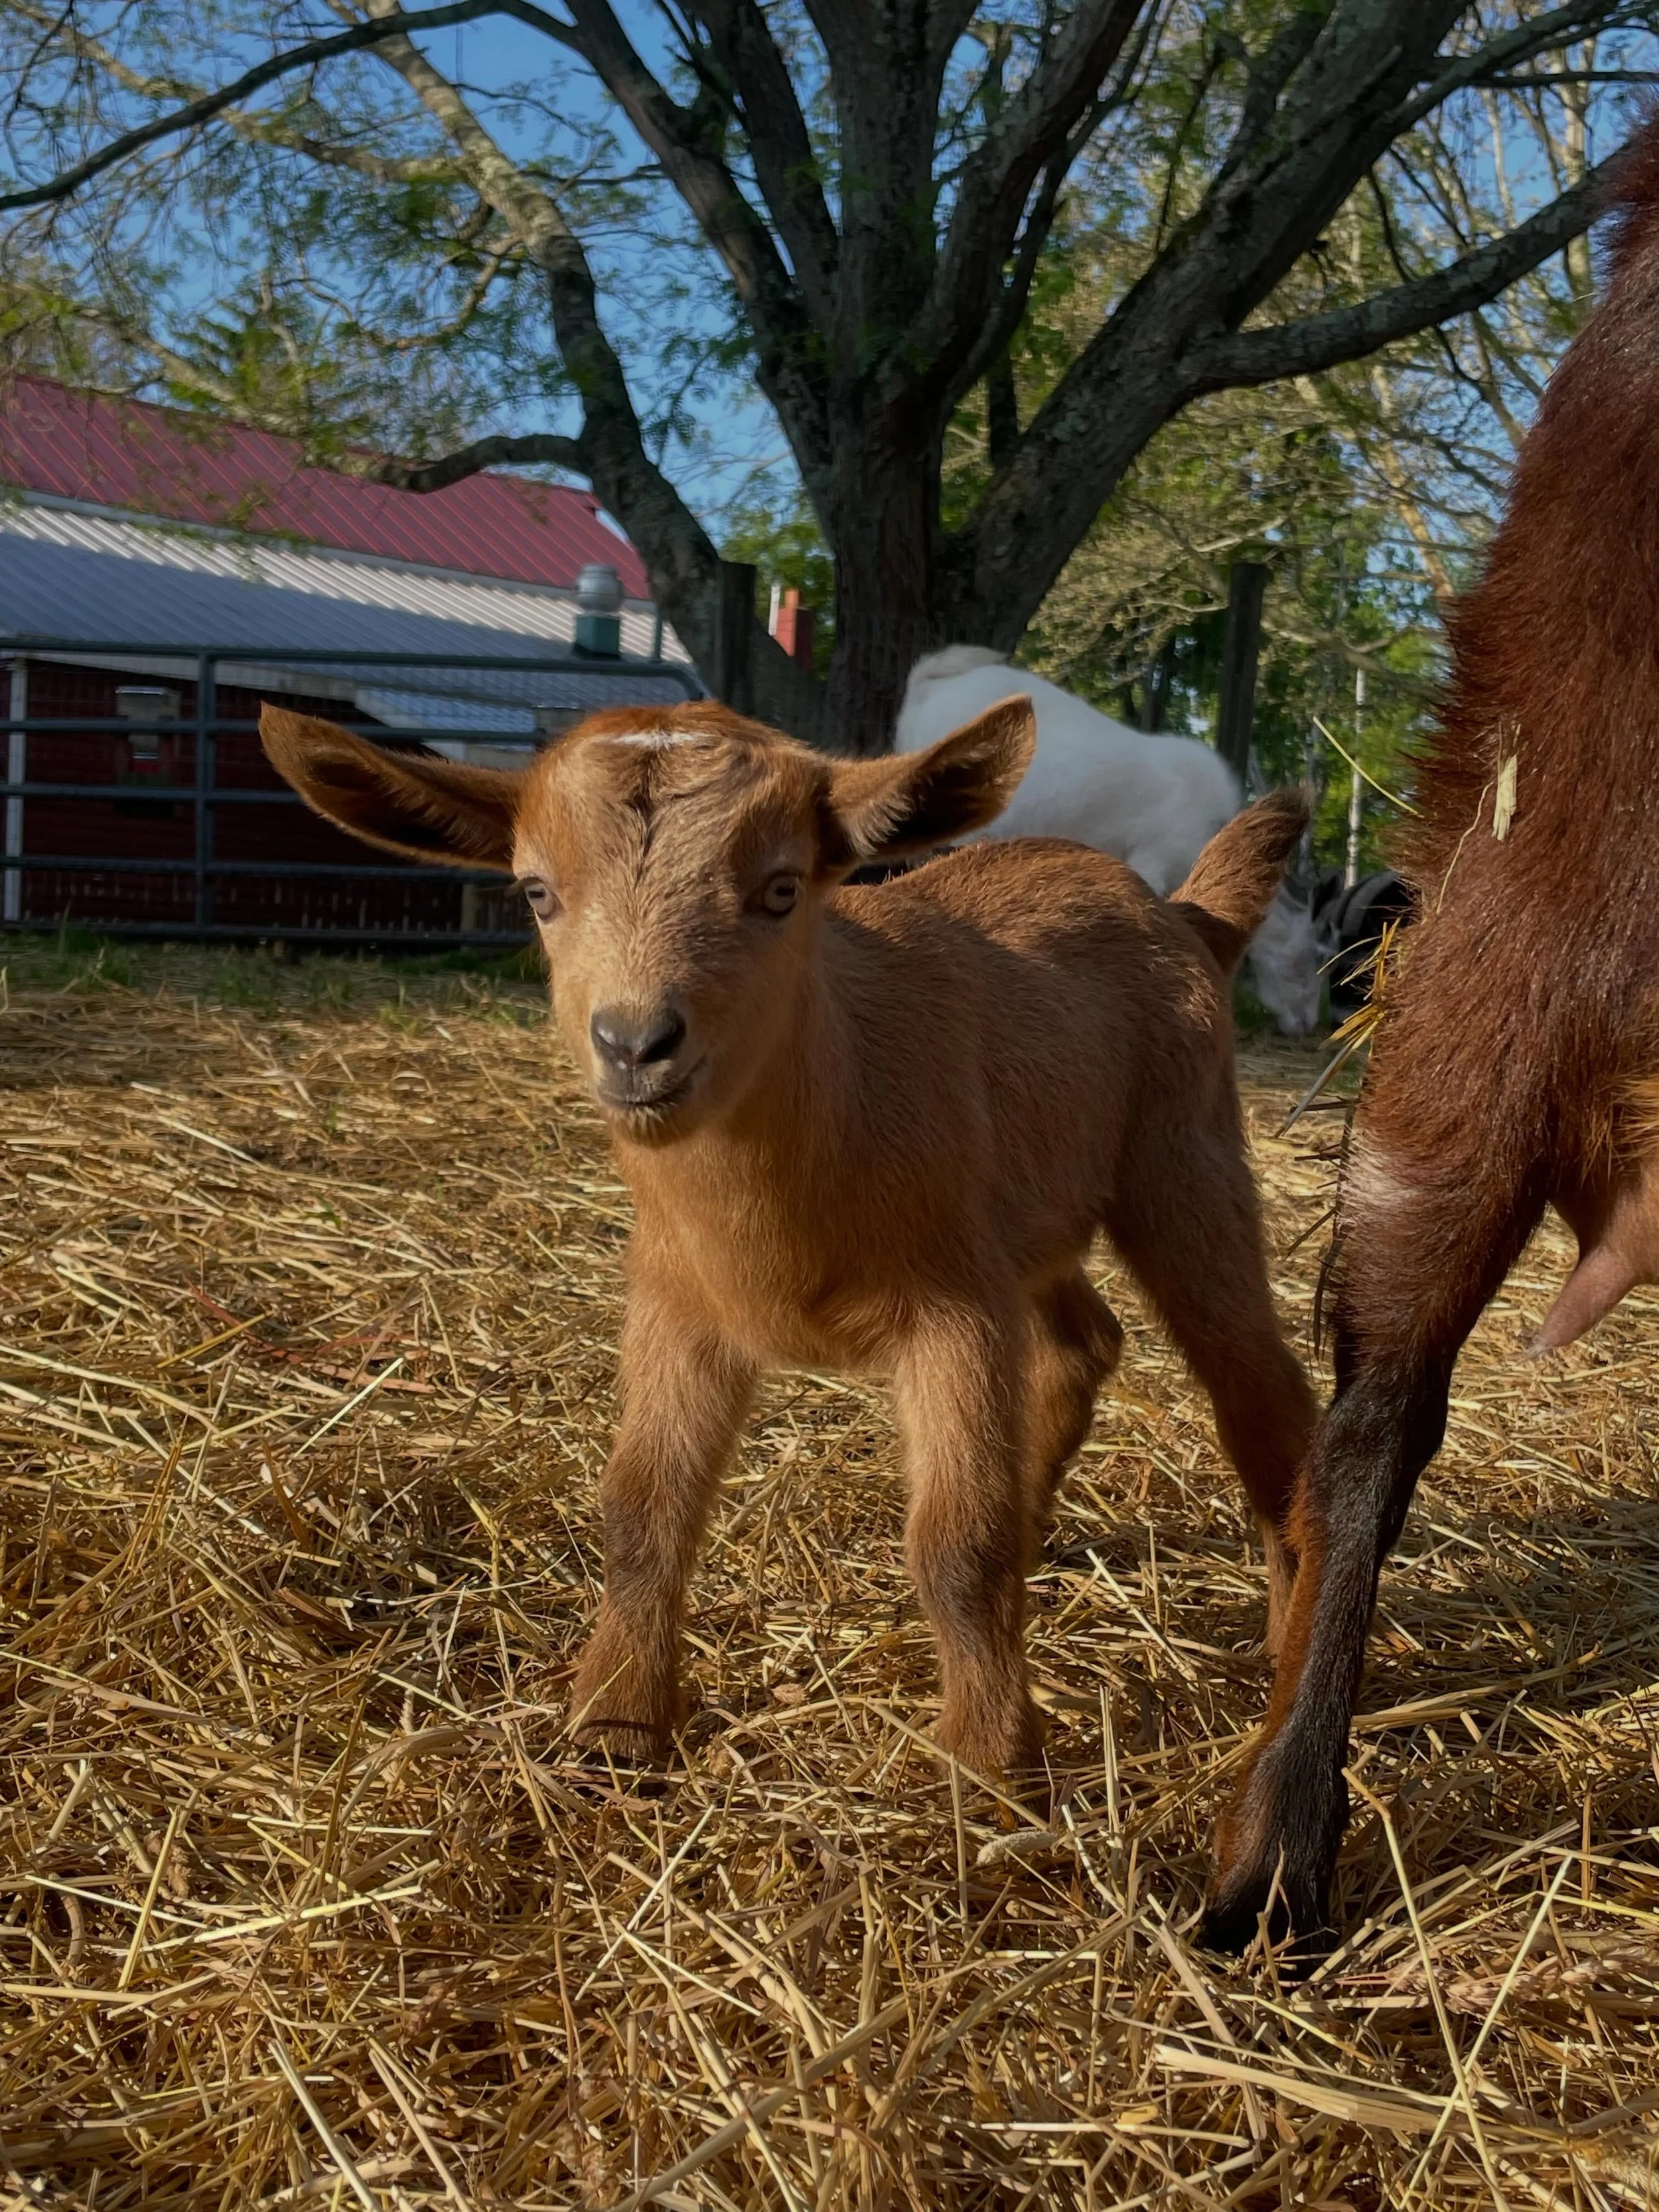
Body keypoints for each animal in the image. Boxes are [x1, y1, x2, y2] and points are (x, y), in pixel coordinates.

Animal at [262, 696, 1314, 1781]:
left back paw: (1287, 1648)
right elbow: (642, 1511)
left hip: (1181, 1157)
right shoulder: (680, 1301)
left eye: (779, 889)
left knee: (1260, 1386)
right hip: (1033, 1212)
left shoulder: (954, 1308)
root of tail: (1184, 913)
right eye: (538, 891)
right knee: (1083, 1343)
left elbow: (957, 1544)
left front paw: (990, 1768)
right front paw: (612, 1726)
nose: (635, 1044)